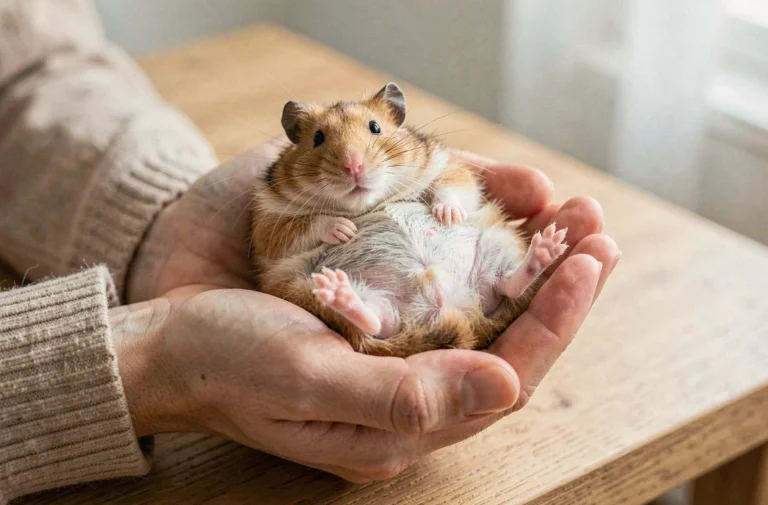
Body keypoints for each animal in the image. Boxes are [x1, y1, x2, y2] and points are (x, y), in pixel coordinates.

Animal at [249, 83, 567, 358]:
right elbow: (308, 223)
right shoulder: (269, 222)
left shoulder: (448, 166)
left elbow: (450, 187)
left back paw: (547, 247)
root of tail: (452, 308)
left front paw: (446, 214)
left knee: (507, 284)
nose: (354, 166)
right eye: (317, 138)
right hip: (314, 292)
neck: (369, 203)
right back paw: (340, 293)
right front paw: (345, 230)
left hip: (498, 244)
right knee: (374, 322)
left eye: (375, 127)